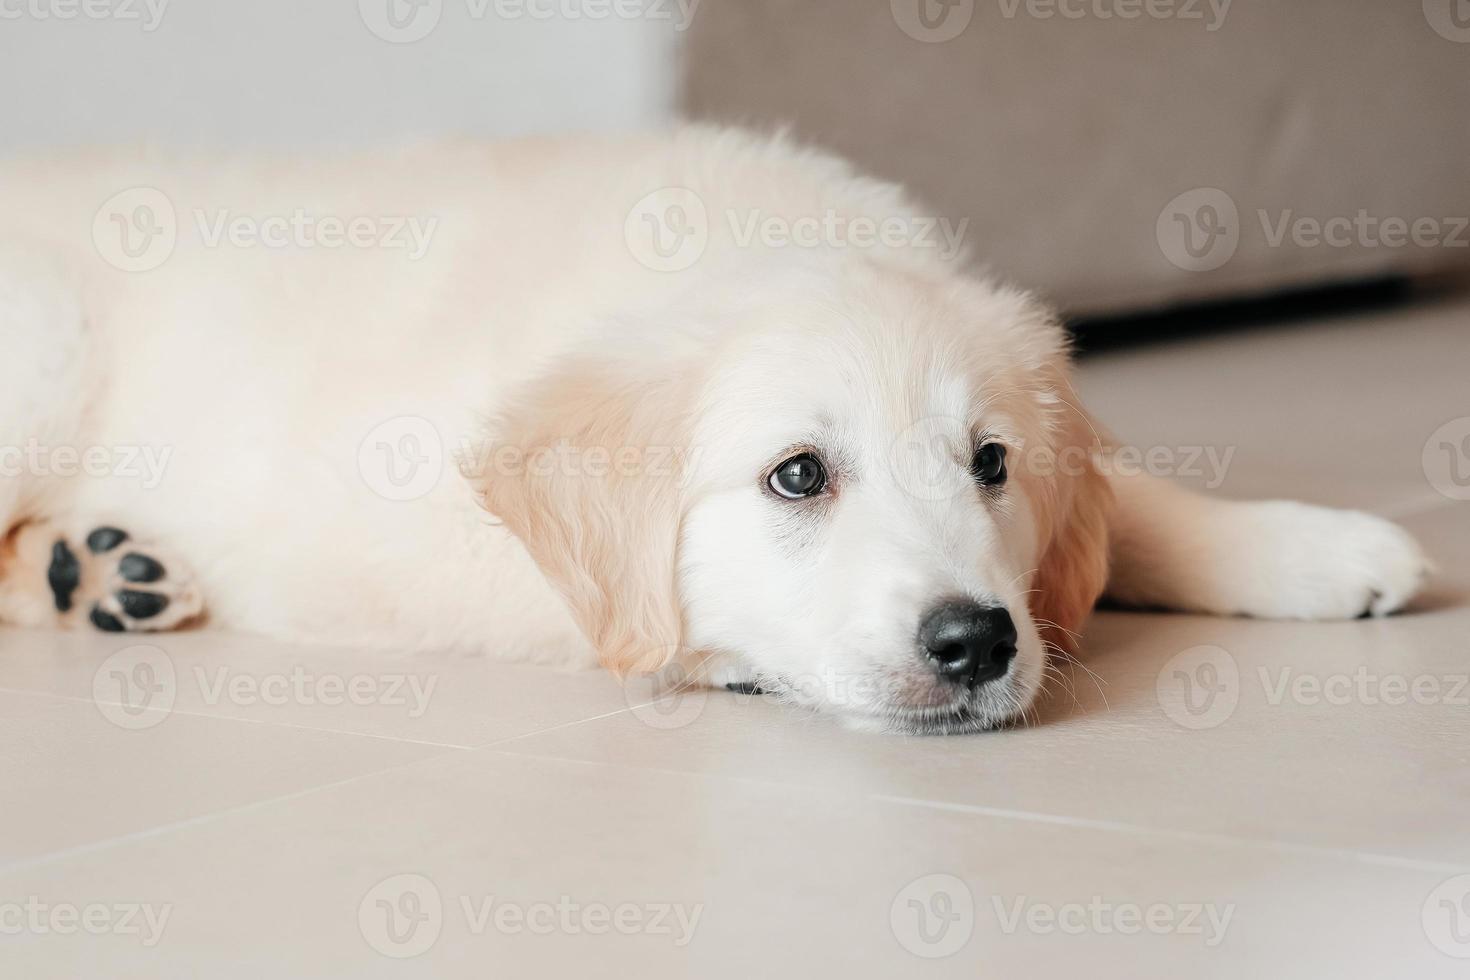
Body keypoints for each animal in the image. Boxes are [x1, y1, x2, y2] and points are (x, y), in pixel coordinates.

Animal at [0, 126, 1422, 731]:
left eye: (990, 463)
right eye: (798, 476)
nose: (976, 641)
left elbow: (1128, 501)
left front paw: (1314, 549)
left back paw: (98, 569)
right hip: (45, 347)